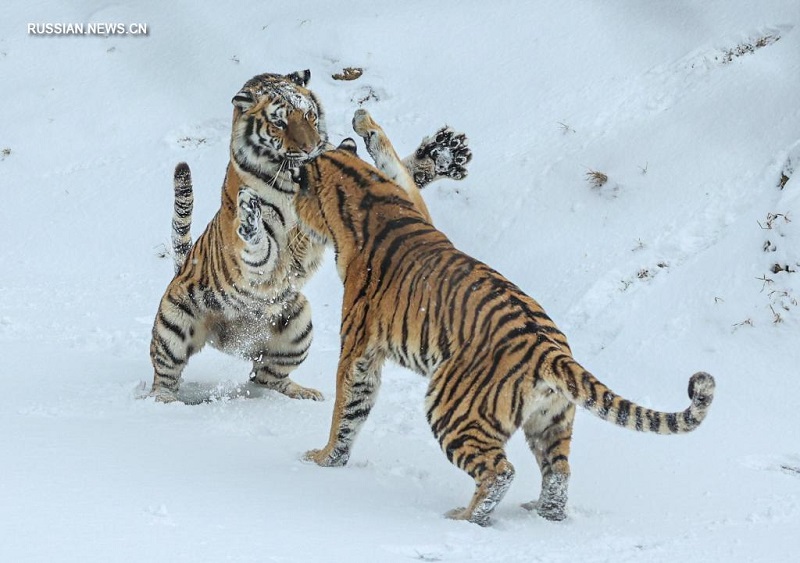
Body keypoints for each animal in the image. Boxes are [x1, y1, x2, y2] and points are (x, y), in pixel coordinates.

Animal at [148, 70, 472, 404]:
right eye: (279, 123)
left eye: (308, 115)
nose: (310, 148)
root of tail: (231, 341)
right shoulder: (265, 260)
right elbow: (261, 250)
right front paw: (249, 217)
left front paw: (442, 155)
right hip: (174, 323)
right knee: (164, 375)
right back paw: (165, 402)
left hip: (299, 322)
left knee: (264, 377)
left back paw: (303, 393)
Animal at [290, 111, 716, 528]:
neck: (362, 192)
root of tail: (550, 350)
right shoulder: (413, 201)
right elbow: (401, 170)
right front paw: (368, 124)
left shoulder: (359, 348)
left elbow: (347, 410)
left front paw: (324, 459)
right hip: (552, 421)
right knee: (558, 472)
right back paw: (544, 513)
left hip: (451, 408)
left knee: (500, 471)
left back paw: (465, 517)